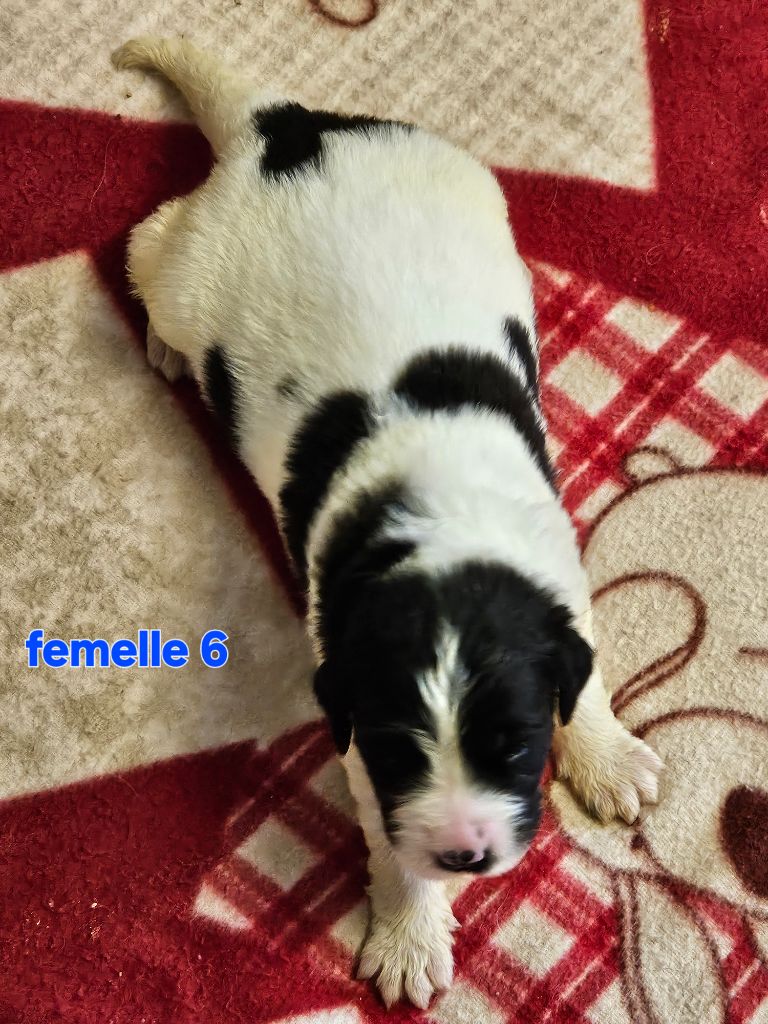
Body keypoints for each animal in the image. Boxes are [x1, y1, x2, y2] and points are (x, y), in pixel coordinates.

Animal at [112, 37, 663, 1009]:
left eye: (515, 745)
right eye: (405, 753)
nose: (466, 856)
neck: (443, 529)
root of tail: (288, 128)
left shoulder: (557, 578)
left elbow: (587, 675)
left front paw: (606, 757)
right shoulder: (360, 730)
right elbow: (391, 840)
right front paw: (410, 935)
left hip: (463, 181)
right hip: (190, 272)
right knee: (146, 245)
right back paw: (169, 346)